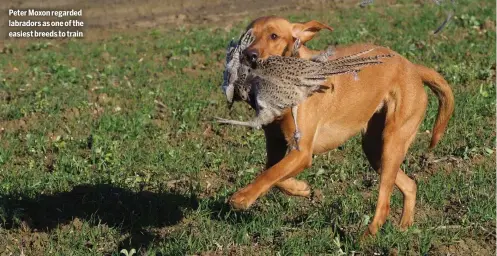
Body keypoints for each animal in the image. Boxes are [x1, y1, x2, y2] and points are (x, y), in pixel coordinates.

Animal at [227, 15, 456, 236]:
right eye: (248, 35)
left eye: (273, 36)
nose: (248, 55)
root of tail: (412, 67)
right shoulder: (276, 143)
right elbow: (273, 173)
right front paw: (301, 188)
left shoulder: (302, 152)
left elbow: (270, 174)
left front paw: (242, 197)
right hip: (375, 150)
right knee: (410, 185)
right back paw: (404, 227)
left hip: (393, 142)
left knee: (384, 204)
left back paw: (365, 238)